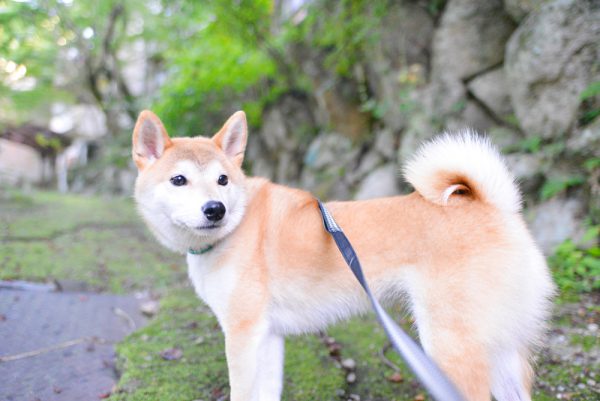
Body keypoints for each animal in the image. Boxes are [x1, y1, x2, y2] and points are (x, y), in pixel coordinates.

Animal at [131, 109, 552, 400]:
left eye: (222, 180)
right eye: (179, 180)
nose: (215, 209)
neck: (236, 227)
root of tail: (494, 207)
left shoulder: (242, 333)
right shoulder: (267, 337)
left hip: (450, 346)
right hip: (499, 350)